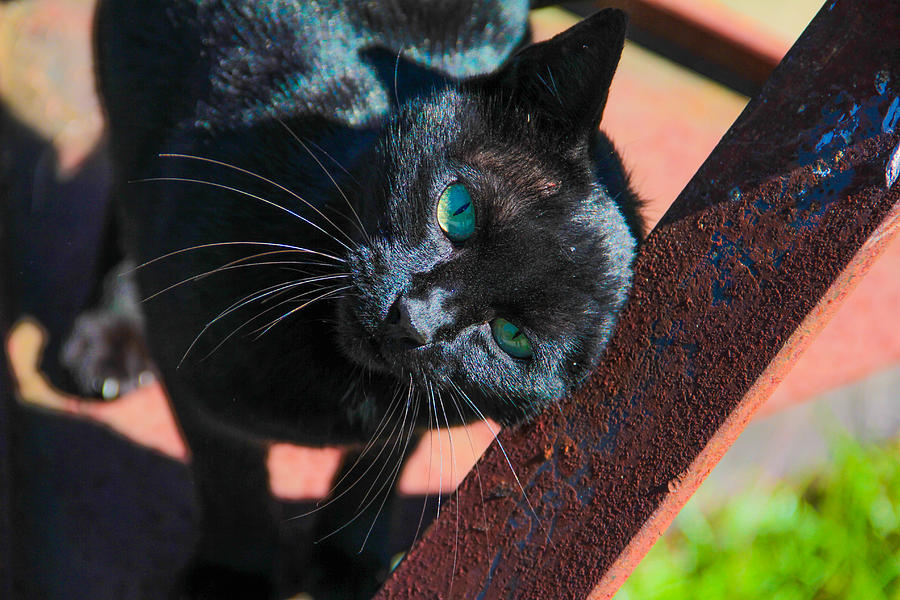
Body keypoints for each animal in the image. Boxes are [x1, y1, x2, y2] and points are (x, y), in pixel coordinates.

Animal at [77, 1, 644, 596]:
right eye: (457, 209)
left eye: (512, 338)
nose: (414, 318)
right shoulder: (190, 371)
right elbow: (230, 479)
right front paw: (235, 577)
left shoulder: (421, 410)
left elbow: (380, 466)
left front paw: (349, 562)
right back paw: (109, 337)